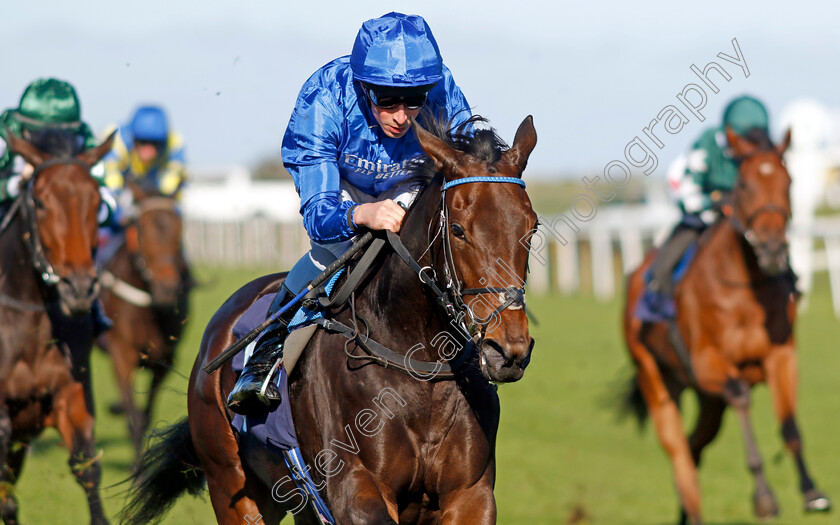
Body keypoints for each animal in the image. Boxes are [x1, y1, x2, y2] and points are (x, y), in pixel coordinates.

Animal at [96, 182, 189, 456]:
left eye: (179, 228)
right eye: (143, 229)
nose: (167, 288)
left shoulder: (163, 358)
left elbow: (146, 415)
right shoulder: (121, 354)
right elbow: (134, 418)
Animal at [120, 114, 536, 524]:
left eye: (531, 228)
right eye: (458, 230)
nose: (507, 351)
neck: (418, 362)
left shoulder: (471, 494)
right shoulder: (355, 489)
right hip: (231, 485)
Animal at [620, 127, 832, 524]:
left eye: (788, 182)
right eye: (745, 184)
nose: (772, 250)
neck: (745, 289)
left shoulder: (782, 356)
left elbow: (790, 424)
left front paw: (812, 491)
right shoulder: (707, 364)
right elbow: (741, 394)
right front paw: (764, 496)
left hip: (708, 404)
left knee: (694, 446)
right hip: (656, 380)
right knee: (681, 458)